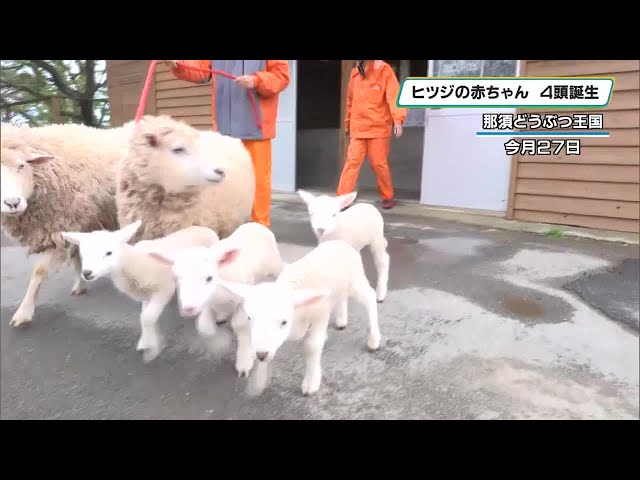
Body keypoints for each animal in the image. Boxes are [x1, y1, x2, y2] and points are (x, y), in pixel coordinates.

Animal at [1, 121, 129, 327]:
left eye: (21, 165)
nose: (12, 203)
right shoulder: (76, 224)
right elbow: (77, 257)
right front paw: (80, 284)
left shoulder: (61, 226)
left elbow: (38, 271)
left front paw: (24, 312)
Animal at [60, 220, 220, 363]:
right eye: (83, 254)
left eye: (109, 252)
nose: (87, 273)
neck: (135, 263)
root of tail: (203, 228)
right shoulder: (146, 294)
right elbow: (144, 315)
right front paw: (145, 339)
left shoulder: (164, 289)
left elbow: (147, 317)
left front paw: (151, 347)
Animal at [146, 222, 284, 345]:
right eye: (177, 278)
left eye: (209, 278)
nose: (189, 309)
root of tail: (256, 224)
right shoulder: (207, 302)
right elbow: (204, 328)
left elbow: (238, 324)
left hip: (274, 266)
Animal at [220, 239, 381, 396]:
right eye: (250, 318)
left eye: (284, 322)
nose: (261, 354)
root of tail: (341, 242)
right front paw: (253, 375)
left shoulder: (319, 316)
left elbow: (311, 347)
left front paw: (311, 382)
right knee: (342, 297)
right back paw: (341, 320)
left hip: (356, 281)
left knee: (370, 297)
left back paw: (374, 339)